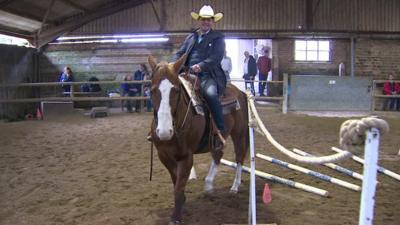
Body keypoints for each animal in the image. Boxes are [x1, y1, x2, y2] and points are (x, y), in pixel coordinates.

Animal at [148, 55, 248, 225]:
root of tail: (239, 91)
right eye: (152, 90)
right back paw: (208, 186)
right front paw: (182, 202)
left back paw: (234, 187)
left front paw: (176, 217)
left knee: (239, 157)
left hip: (239, 134)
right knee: (218, 155)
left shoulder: (186, 157)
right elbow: (176, 181)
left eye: (176, 90)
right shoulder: (164, 156)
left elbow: (179, 186)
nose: (164, 132)